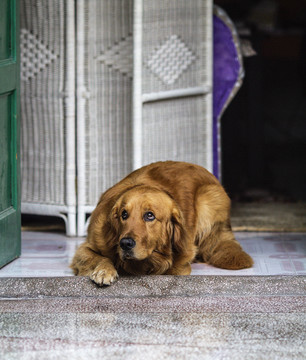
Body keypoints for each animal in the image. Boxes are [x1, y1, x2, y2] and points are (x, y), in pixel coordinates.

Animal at [71, 162, 253, 286]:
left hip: (207, 200)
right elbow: (99, 257)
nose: (125, 243)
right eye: (124, 214)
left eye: (149, 215)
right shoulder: (87, 247)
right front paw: (104, 270)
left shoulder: (179, 263)